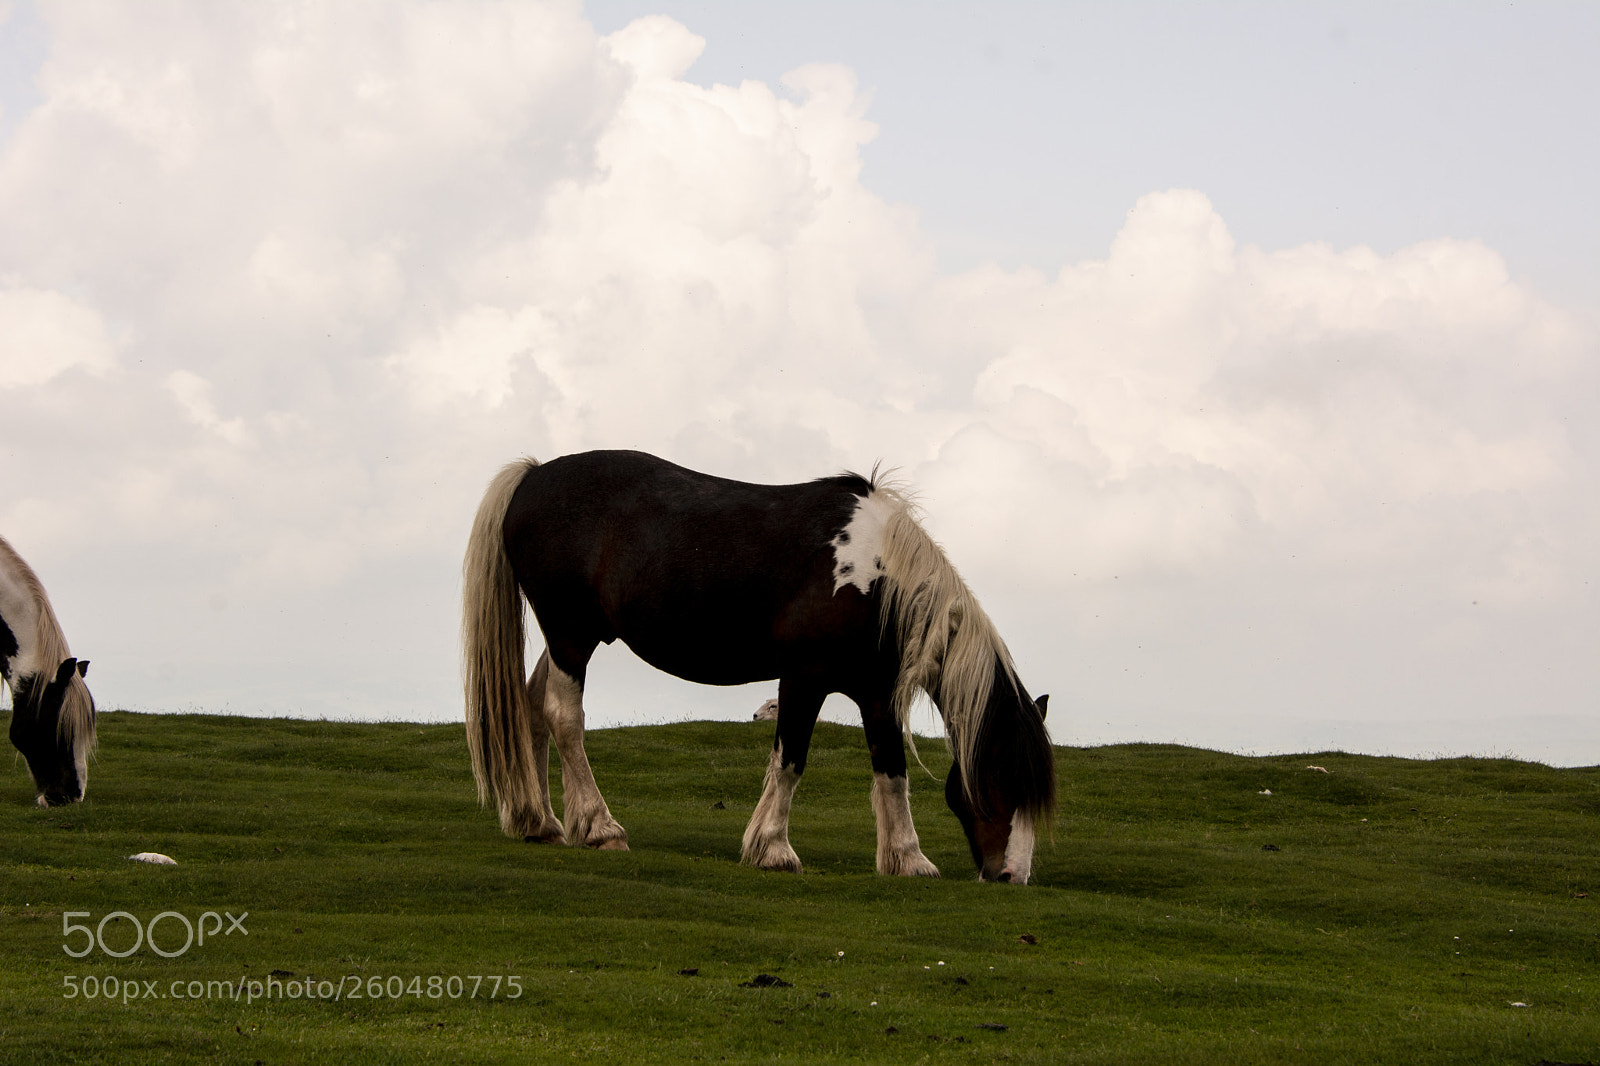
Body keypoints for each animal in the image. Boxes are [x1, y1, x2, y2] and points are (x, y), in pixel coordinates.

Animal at [462, 450, 1055, 882]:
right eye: (1004, 778)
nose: (1011, 876)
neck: (874, 577)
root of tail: (534, 475)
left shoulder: (876, 693)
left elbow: (892, 774)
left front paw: (908, 859)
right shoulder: (803, 679)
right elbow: (790, 761)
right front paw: (771, 848)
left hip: (567, 638)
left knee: (532, 710)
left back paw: (540, 822)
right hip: (571, 635)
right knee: (563, 717)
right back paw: (599, 828)